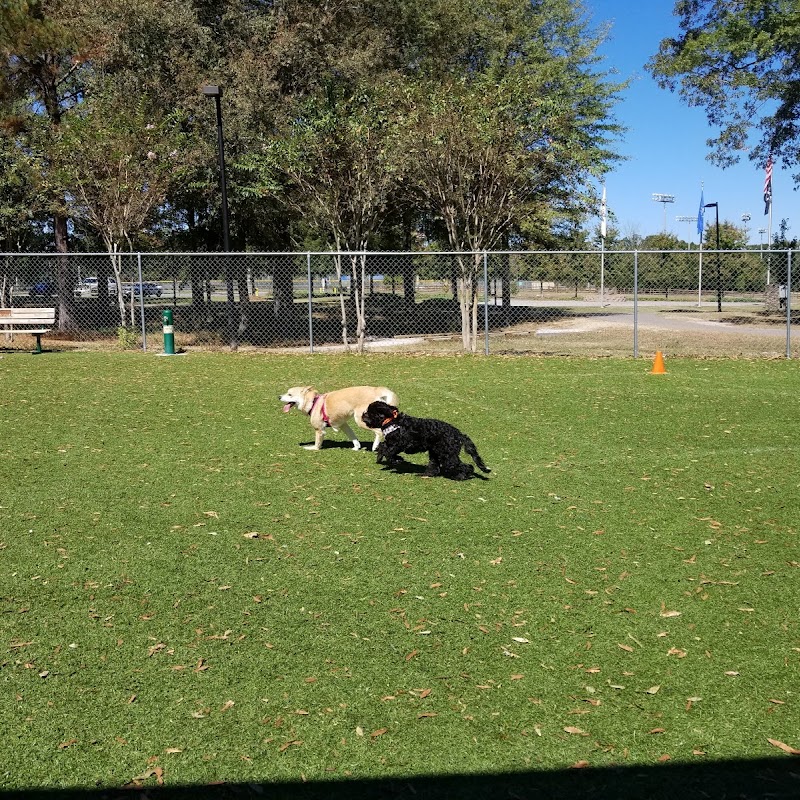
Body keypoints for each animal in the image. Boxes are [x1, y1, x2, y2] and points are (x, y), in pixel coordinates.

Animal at [360, 400, 488, 482]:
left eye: (370, 412)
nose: (362, 415)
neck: (391, 421)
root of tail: (459, 434)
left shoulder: (400, 443)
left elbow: (388, 452)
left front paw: (397, 460)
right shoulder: (392, 443)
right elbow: (383, 447)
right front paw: (383, 458)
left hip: (448, 456)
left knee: (467, 466)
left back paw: (461, 476)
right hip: (436, 453)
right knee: (434, 468)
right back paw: (425, 474)